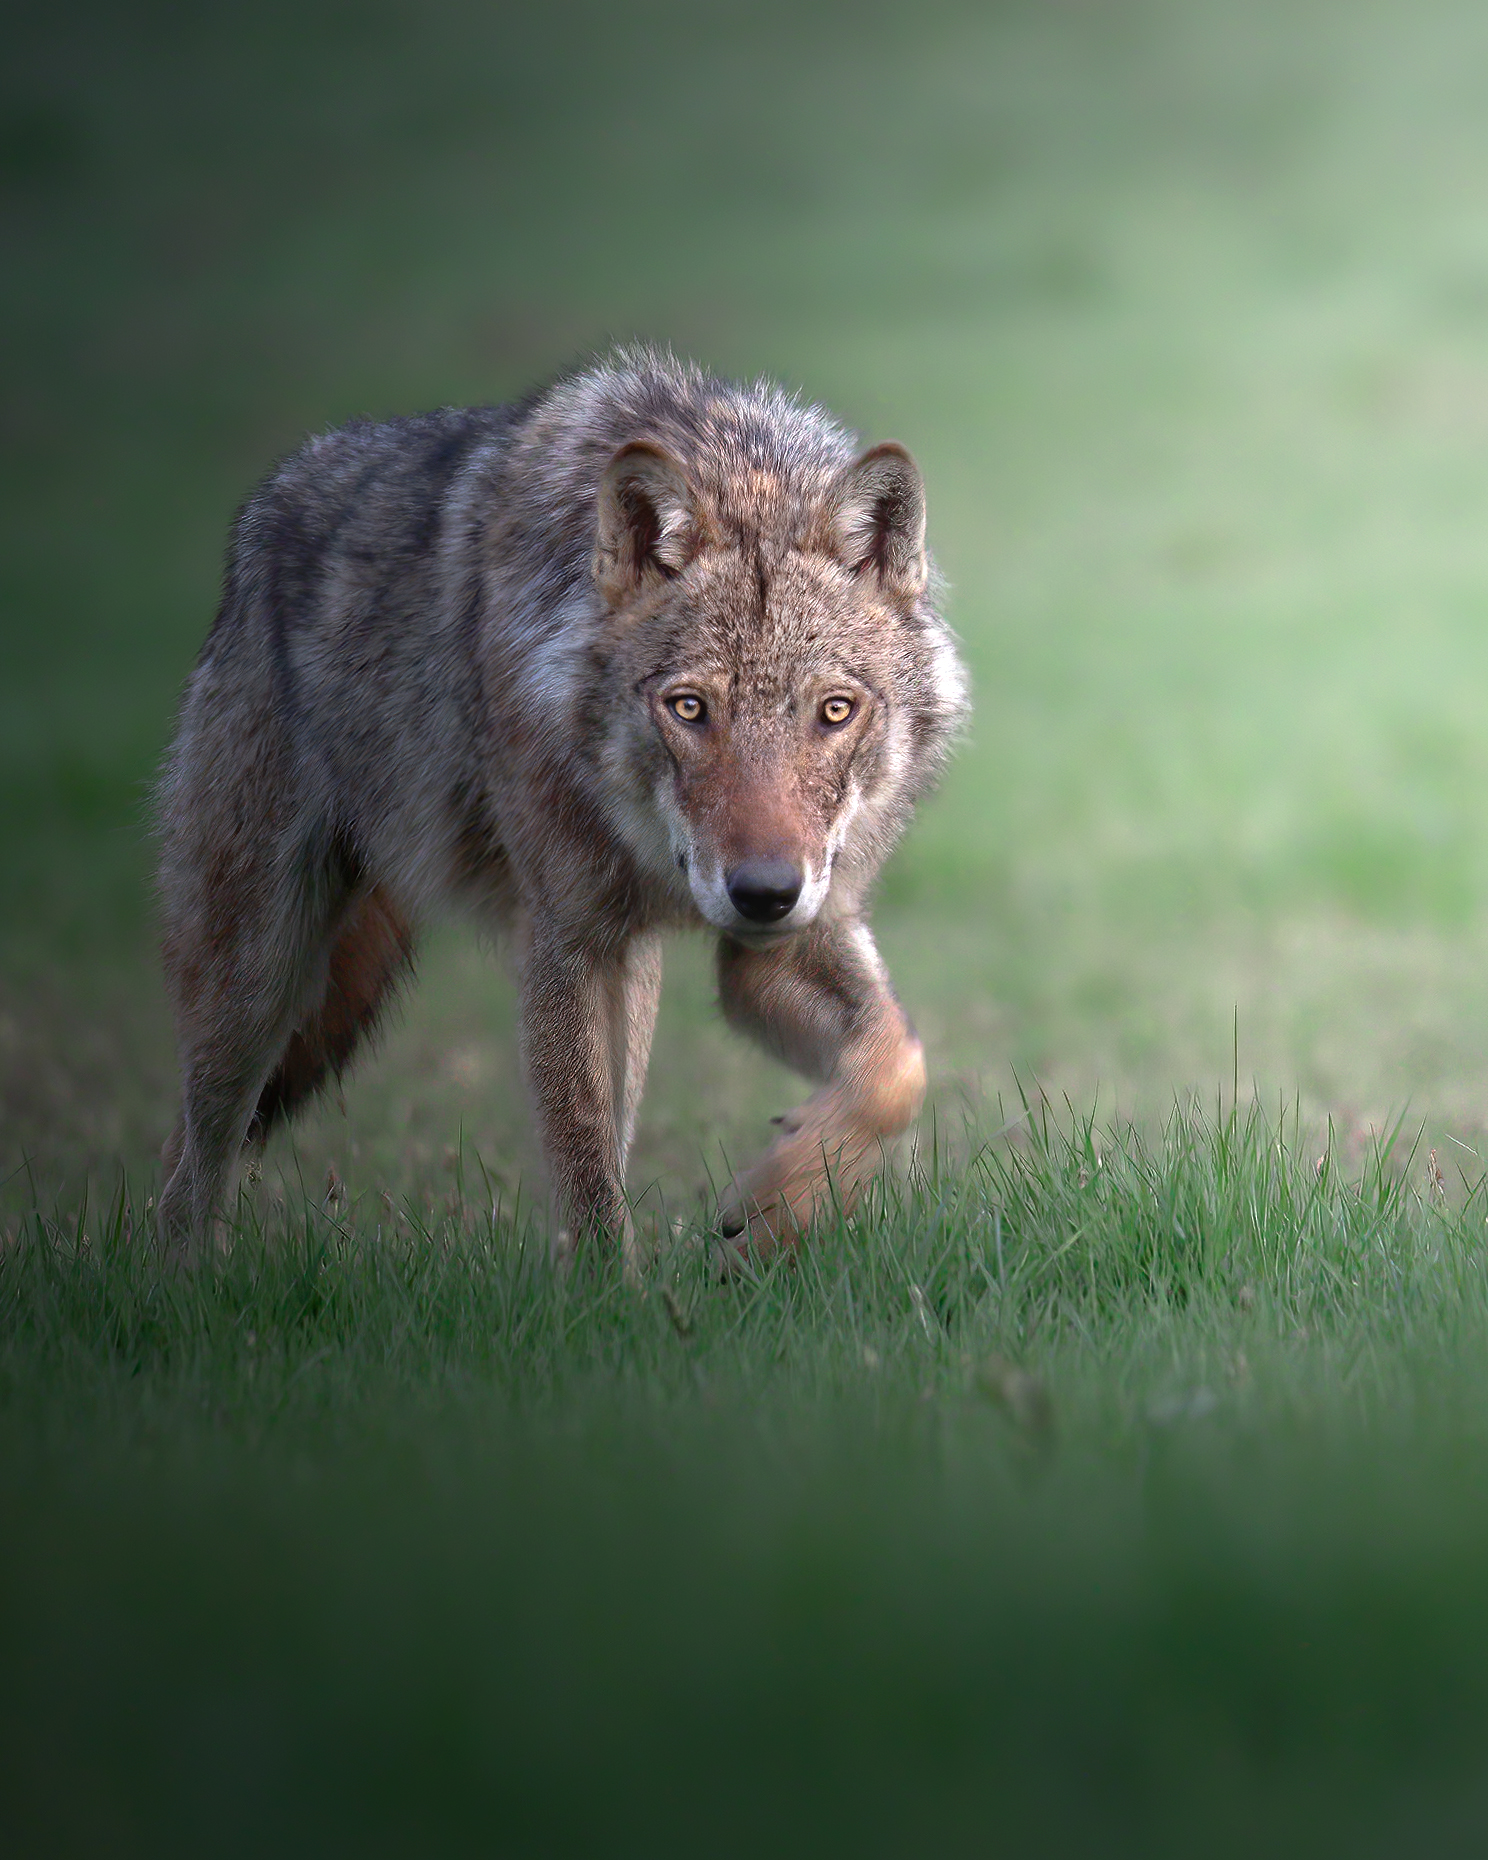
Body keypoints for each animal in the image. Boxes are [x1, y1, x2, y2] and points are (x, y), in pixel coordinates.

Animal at [156, 349, 968, 1271]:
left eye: (834, 711)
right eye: (690, 709)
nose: (764, 892)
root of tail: (266, 507)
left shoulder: (784, 943)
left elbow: (898, 1066)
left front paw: (781, 1205)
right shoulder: (563, 940)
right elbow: (583, 1161)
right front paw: (611, 1297)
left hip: (626, 972)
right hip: (258, 978)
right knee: (191, 1157)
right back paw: (182, 1282)